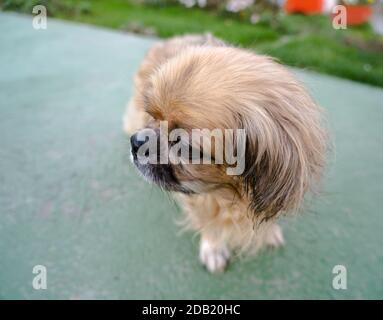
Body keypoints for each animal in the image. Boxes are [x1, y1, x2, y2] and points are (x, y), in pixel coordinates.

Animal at [124, 33, 328, 272]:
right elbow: (209, 223)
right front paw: (214, 248)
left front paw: (269, 231)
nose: (137, 142)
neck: (230, 194)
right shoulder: (200, 193)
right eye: (152, 116)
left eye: (185, 147)